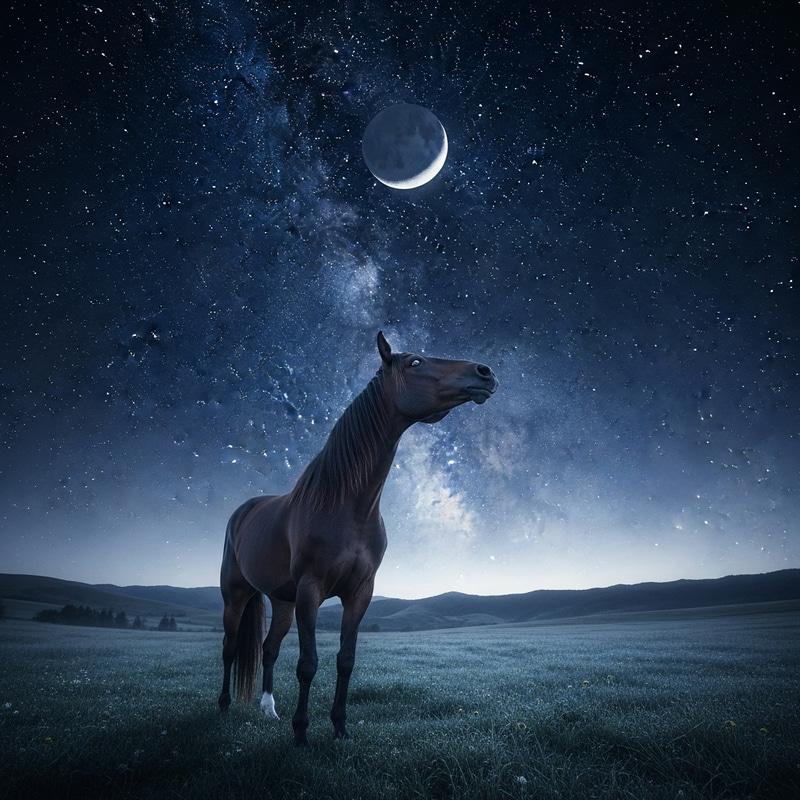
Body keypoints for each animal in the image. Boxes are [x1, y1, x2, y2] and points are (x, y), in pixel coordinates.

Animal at [218, 331, 498, 746]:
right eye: (415, 362)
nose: (485, 372)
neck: (347, 505)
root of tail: (243, 510)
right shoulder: (310, 591)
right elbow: (308, 664)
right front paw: (301, 734)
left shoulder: (360, 592)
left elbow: (345, 661)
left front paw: (340, 727)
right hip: (237, 594)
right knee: (231, 648)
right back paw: (222, 707)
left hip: (281, 600)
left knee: (268, 649)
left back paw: (269, 709)